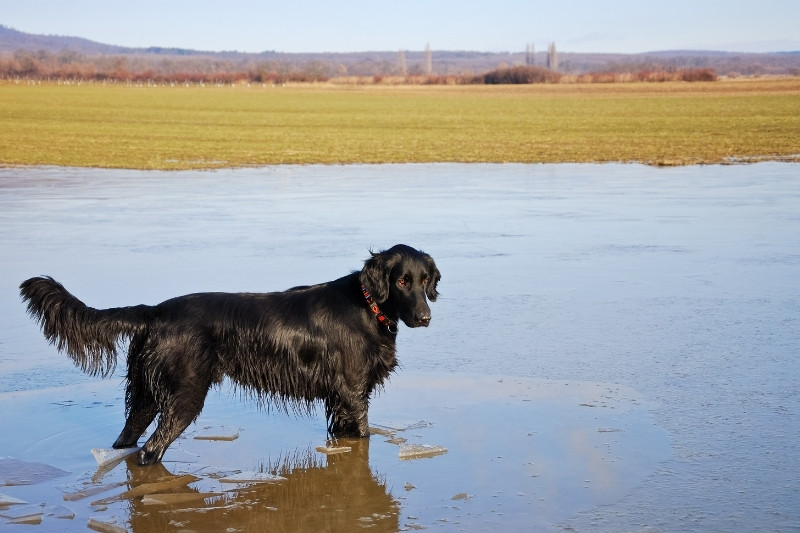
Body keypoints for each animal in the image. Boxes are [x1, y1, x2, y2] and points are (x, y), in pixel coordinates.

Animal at [18, 243, 440, 464]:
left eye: (425, 280)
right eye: (402, 281)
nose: (425, 317)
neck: (367, 306)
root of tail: (154, 312)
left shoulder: (338, 402)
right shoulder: (353, 394)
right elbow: (364, 435)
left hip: (145, 395)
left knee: (128, 440)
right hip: (184, 396)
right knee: (150, 450)